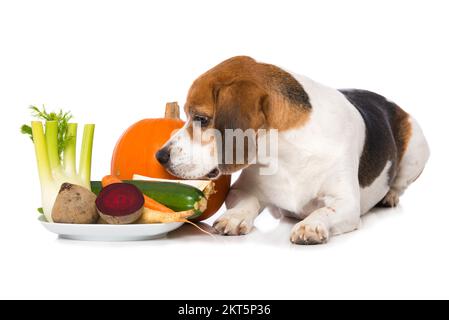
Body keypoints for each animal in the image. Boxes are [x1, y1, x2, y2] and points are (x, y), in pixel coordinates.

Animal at [156, 56, 428, 244]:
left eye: (201, 119)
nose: (160, 155)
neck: (286, 153)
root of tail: (385, 100)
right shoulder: (241, 190)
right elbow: (247, 202)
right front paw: (235, 217)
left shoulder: (347, 204)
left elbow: (326, 210)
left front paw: (311, 225)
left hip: (418, 149)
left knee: (399, 183)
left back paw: (390, 196)